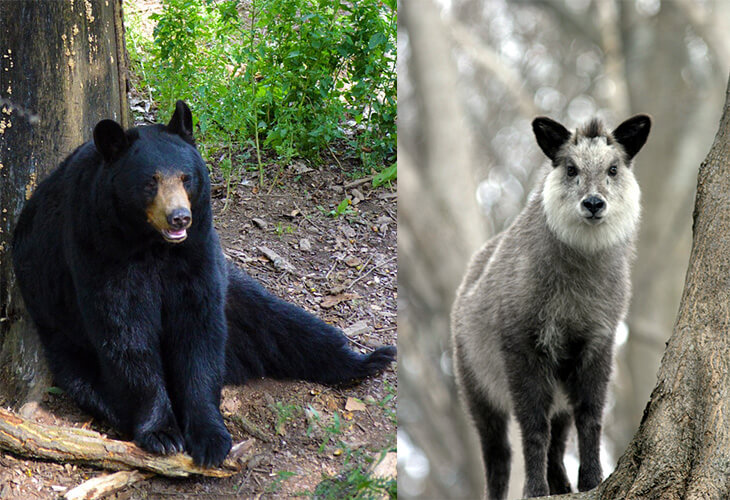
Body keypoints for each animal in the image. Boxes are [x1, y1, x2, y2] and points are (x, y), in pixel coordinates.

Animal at [9, 99, 392, 466]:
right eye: (150, 181)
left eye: (186, 177)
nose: (179, 217)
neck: (152, 245)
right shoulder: (98, 245)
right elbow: (125, 330)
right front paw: (162, 432)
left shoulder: (197, 249)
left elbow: (198, 329)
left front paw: (209, 436)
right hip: (62, 336)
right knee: (89, 381)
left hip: (239, 298)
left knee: (288, 325)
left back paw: (368, 360)